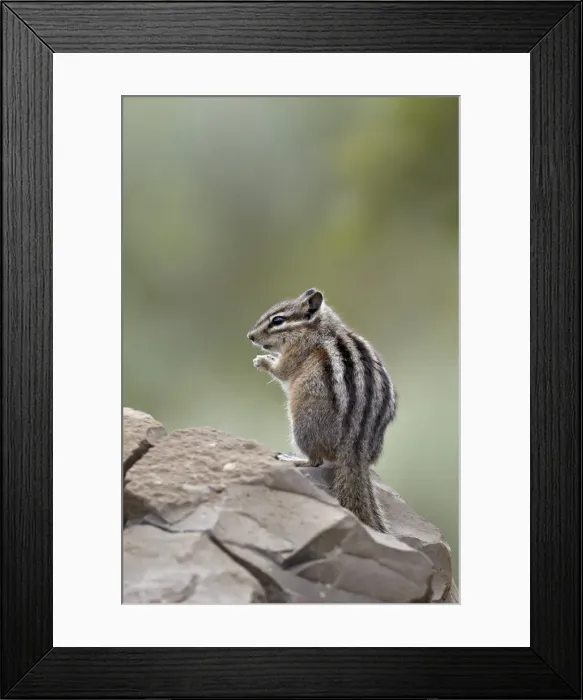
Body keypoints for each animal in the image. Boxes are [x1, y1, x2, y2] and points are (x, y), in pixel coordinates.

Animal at [247, 287, 397, 533]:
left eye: (277, 320)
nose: (250, 336)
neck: (321, 328)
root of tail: (355, 446)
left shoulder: (296, 352)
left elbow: (282, 371)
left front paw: (263, 361)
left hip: (302, 426)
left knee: (315, 461)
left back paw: (292, 459)